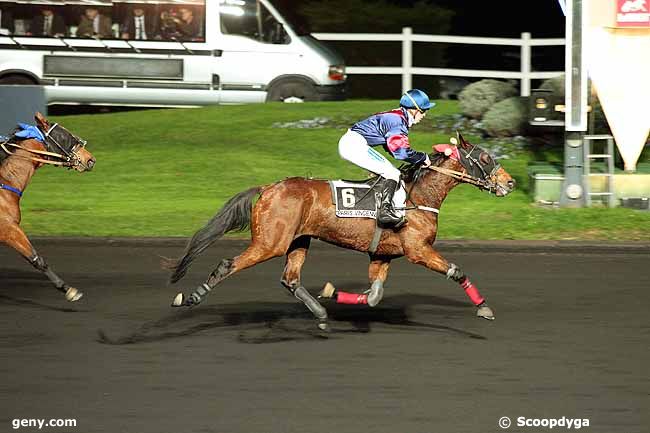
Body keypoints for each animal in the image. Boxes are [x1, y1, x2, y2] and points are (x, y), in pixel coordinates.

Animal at [0, 111, 95, 300]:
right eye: (68, 136)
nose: (90, 159)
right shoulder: (9, 229)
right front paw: (68, 289)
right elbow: (36, 259)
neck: (4, 183)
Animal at [165, 133, 512, 330]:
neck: (417, 197)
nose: (509, 183)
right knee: (228, 264)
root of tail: (268, 188)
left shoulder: (382, 255)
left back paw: (320, 313)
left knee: (290, 279)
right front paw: (484, 308)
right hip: (270, 242)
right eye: (485, 158)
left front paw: (332, 293)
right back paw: (191, 297)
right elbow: (456, 270)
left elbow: (373, 296)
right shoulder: (419, 250)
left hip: (299, 241)